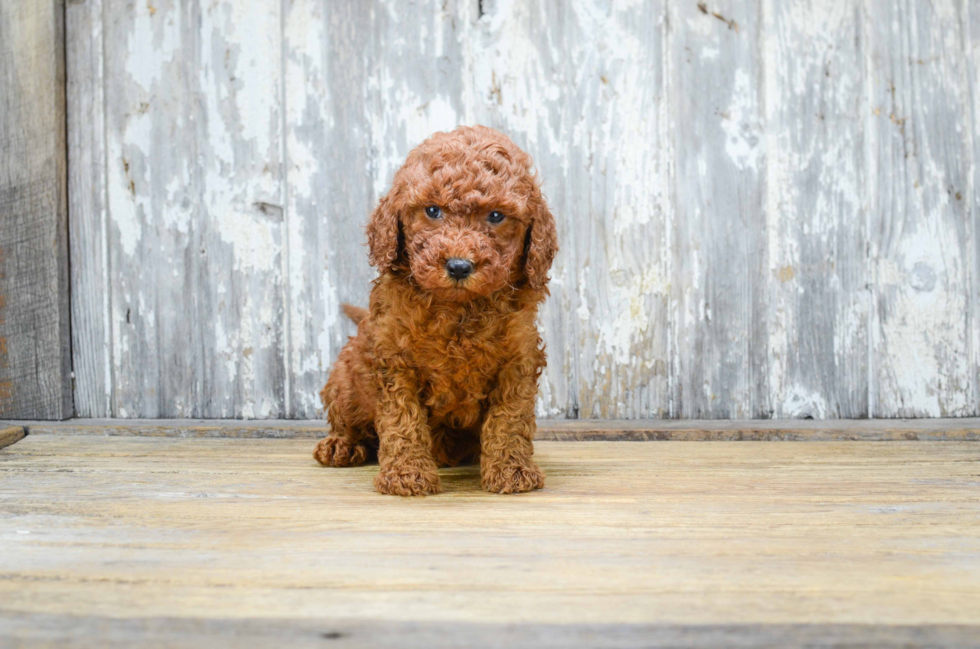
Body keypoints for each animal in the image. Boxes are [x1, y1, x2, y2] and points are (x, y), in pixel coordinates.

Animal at [314, 123, 560, 496]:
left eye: (496, 216)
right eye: (432, 211)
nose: (458, 266)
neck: (457, 308)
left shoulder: (518, 358)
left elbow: (509, 418)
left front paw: (511, 470)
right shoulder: (394, 359)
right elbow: (403, 419)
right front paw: (406, 474)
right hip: (346, 380)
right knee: (350, 420)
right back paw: (341, 444)